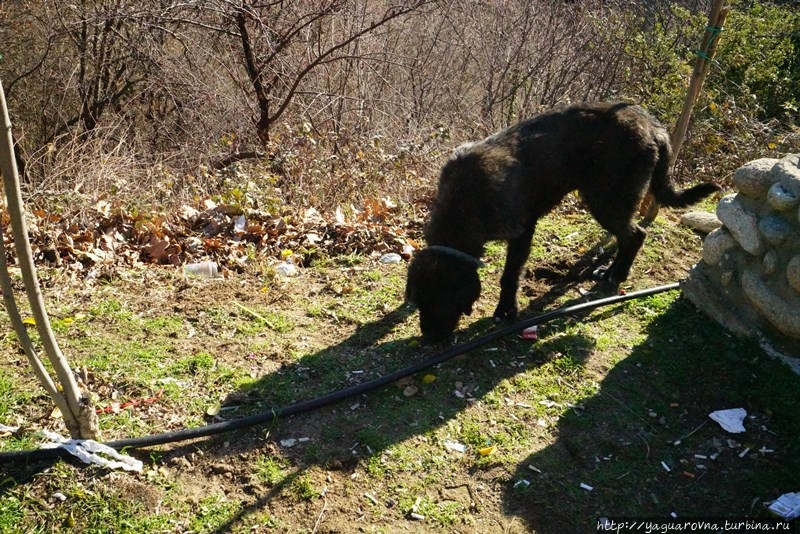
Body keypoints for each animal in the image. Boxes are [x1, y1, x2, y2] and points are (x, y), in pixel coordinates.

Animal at [404, 102, 720, 342]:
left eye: (442, 303)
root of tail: (652, 125)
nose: (429, 341)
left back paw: (617, 274)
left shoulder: (521, 231)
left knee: (636, 234)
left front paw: (506, 310)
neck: (465, 201)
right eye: (418, 303)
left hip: (606, 201)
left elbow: (510, 275)